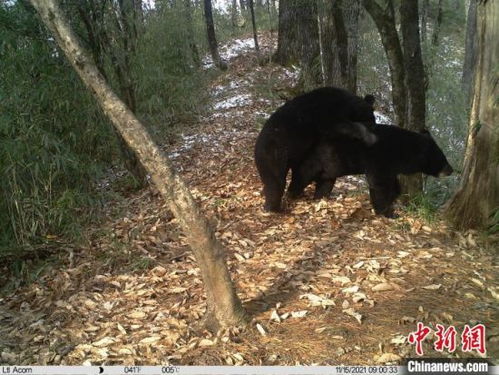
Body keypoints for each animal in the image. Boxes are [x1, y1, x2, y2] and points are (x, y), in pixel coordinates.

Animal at [292, 125, 456, 217]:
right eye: (443, 158)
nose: (452, 170)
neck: (402, 150)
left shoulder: (391, 166)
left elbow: (393, 184)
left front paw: (393, 199)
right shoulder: (379, 157)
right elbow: (379, 183)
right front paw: (386, 212)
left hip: (331, 166)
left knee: (325, 182)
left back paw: (320, 198)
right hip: (318, 157)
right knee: (303, 175)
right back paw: (292, 195)